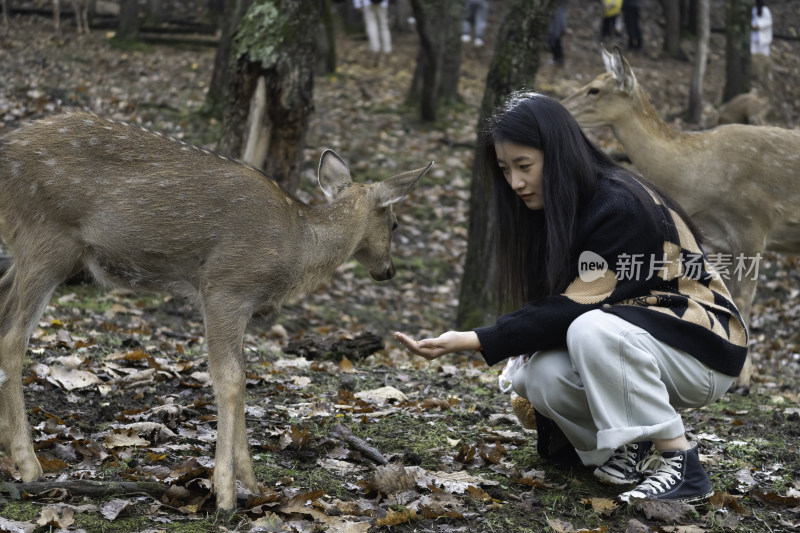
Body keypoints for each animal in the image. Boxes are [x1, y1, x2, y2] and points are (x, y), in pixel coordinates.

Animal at [0, 111, 432, 508]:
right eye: (395, 224)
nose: (388, 270)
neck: (299, 248)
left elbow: (242, 374)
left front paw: (254, 485)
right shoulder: (226, 286)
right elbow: (231, 379)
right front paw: (225, 493)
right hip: (47, 237)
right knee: (12, 339)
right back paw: (30, 465)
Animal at [560, 47, 800, 388]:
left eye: (594, 89)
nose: (560, 105)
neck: (695, 175)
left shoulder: (754, 223)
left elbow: (744, 300)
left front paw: (742, 380)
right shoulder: (718, 239)